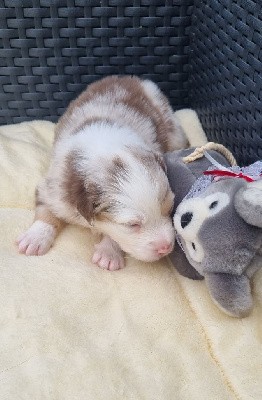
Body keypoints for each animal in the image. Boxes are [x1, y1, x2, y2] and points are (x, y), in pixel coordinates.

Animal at [15, 76, 186, 268]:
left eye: (169, 209)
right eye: (132, 225)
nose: (166, 247)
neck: (105, 146)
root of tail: (136, 80)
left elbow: (112, 235)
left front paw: (108, 254)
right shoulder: (53, 188)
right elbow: (46, 211)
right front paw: (35, 238)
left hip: (174, 133)